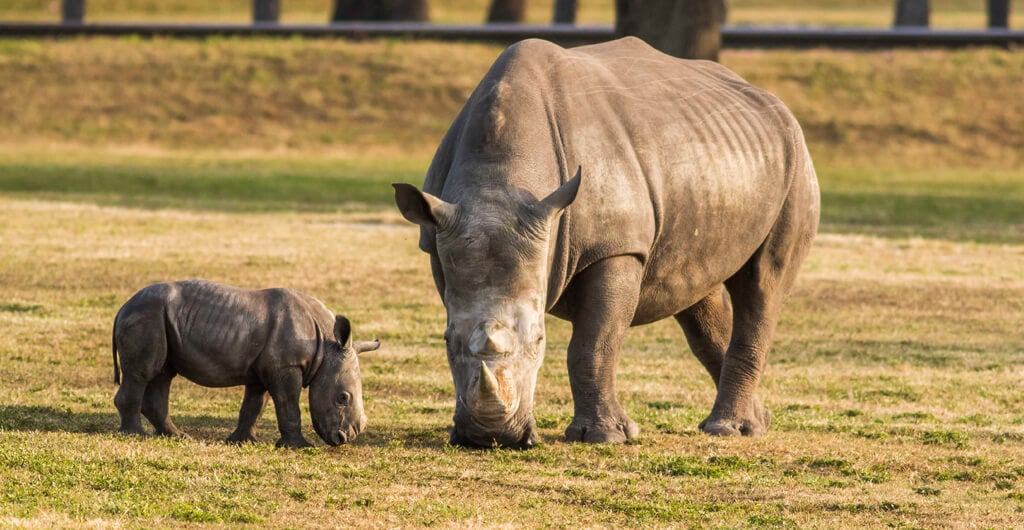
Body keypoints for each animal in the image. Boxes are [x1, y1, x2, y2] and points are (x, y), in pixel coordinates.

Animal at [112, 279, 381, 448]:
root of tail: (123, 307)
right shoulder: (286, 367)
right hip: (147, 316)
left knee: (163, 374)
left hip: (158, 317)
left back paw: (177, 436)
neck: (325, 346)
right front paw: (300, 447)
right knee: (143, 373)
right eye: (343, 398)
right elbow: (288, 405)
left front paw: (242, 441)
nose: (346, 438)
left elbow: (254, 406)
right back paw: (135, 435)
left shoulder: (264, 370)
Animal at [393, 37, 820, 448]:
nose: (491, 437)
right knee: (697, 293)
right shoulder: (439, 237)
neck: (497, 183)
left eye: (540, 340)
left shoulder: (617, 247)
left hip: (796, 159)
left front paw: (604, 436)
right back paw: (757, 422)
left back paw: (728, 430)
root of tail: (771, 101)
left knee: (763, 283)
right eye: (446, 341)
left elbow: (594, 343)